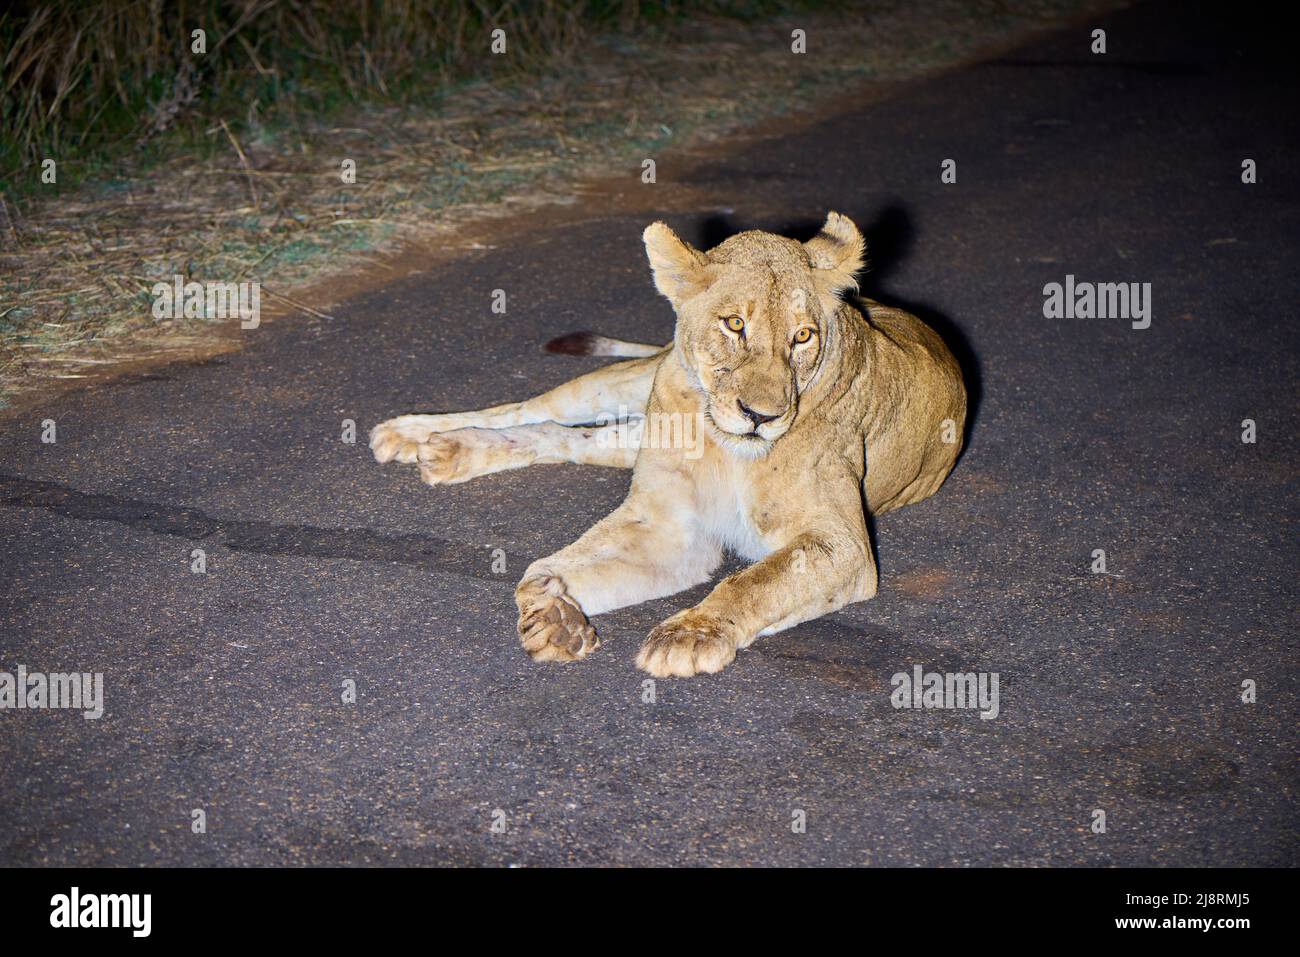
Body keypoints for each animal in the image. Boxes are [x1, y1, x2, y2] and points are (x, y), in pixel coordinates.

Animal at [370, 212, 966, 677]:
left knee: (560, 437)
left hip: (629, 434)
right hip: (628, 386)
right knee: (534, 408)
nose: (761, 417)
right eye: (734, 324)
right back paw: (415, 435)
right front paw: (553, 610)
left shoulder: (838, 544)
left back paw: (448, 451)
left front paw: (689, 636)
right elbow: (542, 569)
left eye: (803, 336)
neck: (720, 443)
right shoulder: (666, 523)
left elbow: (754, 583)